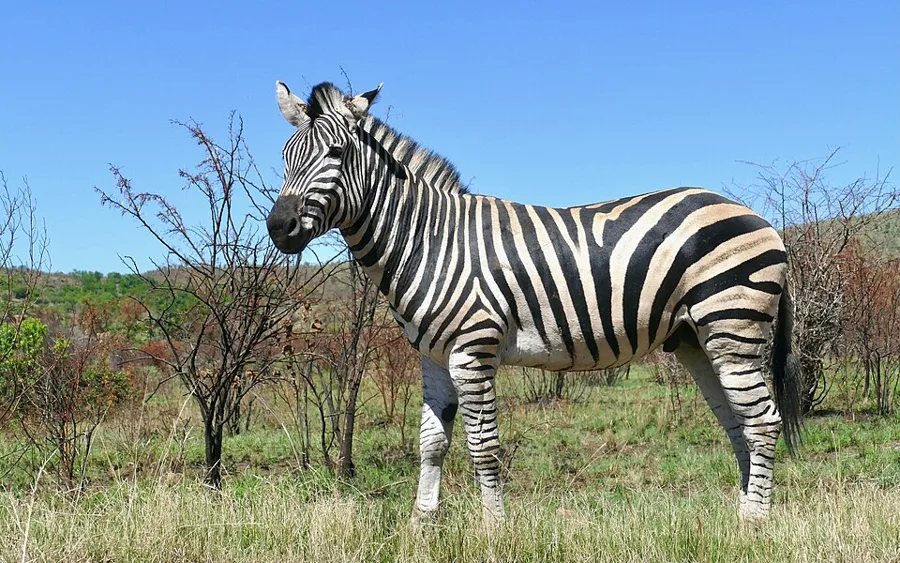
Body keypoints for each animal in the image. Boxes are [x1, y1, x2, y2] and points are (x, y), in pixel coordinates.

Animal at [266, 80, 802, 524]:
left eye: (337, 152)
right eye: (287, 155)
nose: (278, 227)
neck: (429, 240)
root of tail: (758, 218)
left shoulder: (473, 349)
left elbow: (483, 448)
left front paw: (494, 530)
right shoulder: (433, 356)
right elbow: (431, 443)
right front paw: (423, 525)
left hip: (732, 323)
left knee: (763, 422)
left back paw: (755, 523)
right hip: (697, 337)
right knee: (738, 422)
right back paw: (741, 514)